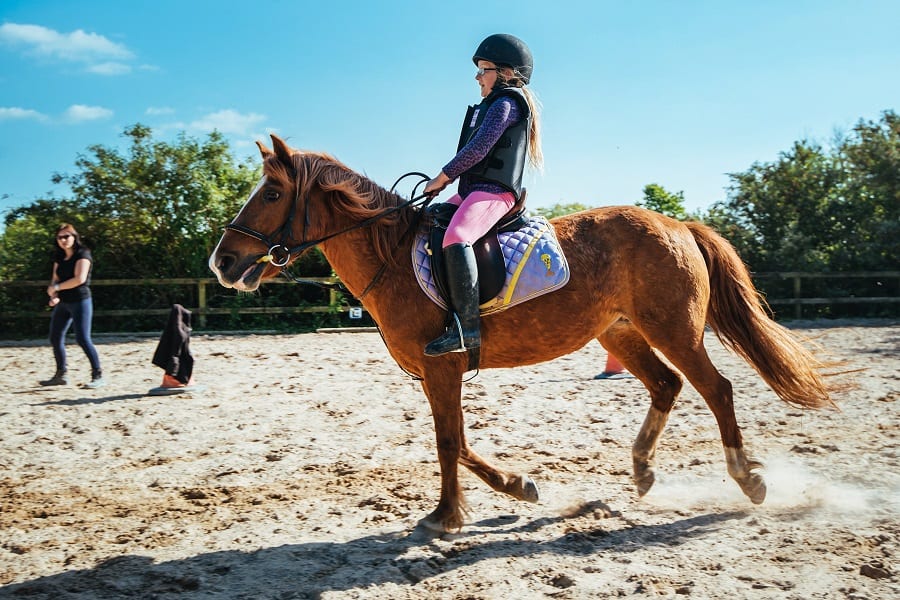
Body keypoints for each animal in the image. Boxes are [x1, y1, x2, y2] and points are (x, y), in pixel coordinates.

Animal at [209, 134, 840, 533]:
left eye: (271, 194)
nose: (222, 261)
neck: (391, 256)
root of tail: (675, 224)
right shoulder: (437, 374)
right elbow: (458, 441)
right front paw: (518, 486)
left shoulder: (441, 365)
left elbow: (447, 442)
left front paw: (445, 517)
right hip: (621, 335)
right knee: (666, 386)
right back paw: (642, 472)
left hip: (674, 330)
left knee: (716, 390)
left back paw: (747, 480)